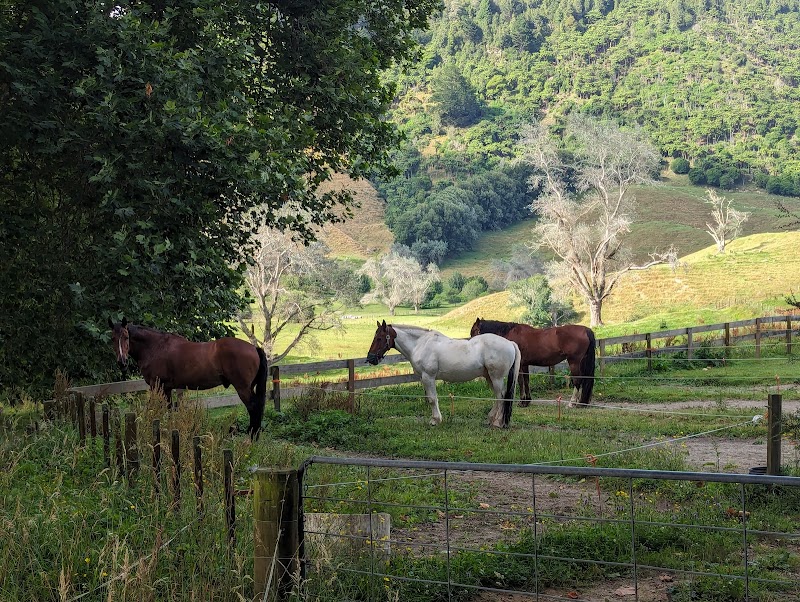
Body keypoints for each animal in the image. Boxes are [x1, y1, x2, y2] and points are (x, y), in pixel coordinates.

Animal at [108, 318, 268, 439]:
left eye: (126, 337)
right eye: (112, 338)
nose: (122, 362)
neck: (155, 347)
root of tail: (254, 348)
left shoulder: (156, 386)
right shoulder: (166, 388)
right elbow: (169, 410)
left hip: (243, 388)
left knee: (253, 407)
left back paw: (251, 437)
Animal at [366, 321, 521, 428]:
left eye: (379, 338)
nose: (370, 358)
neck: (420, 344)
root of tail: (510, 343)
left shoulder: (428, 377)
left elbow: (432, 399)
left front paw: (435, 420)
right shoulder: (424, 378)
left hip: (496, 377)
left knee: (501, 396)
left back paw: (497, 422)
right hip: (490, 377)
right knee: (498, 396)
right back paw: (491, 419)